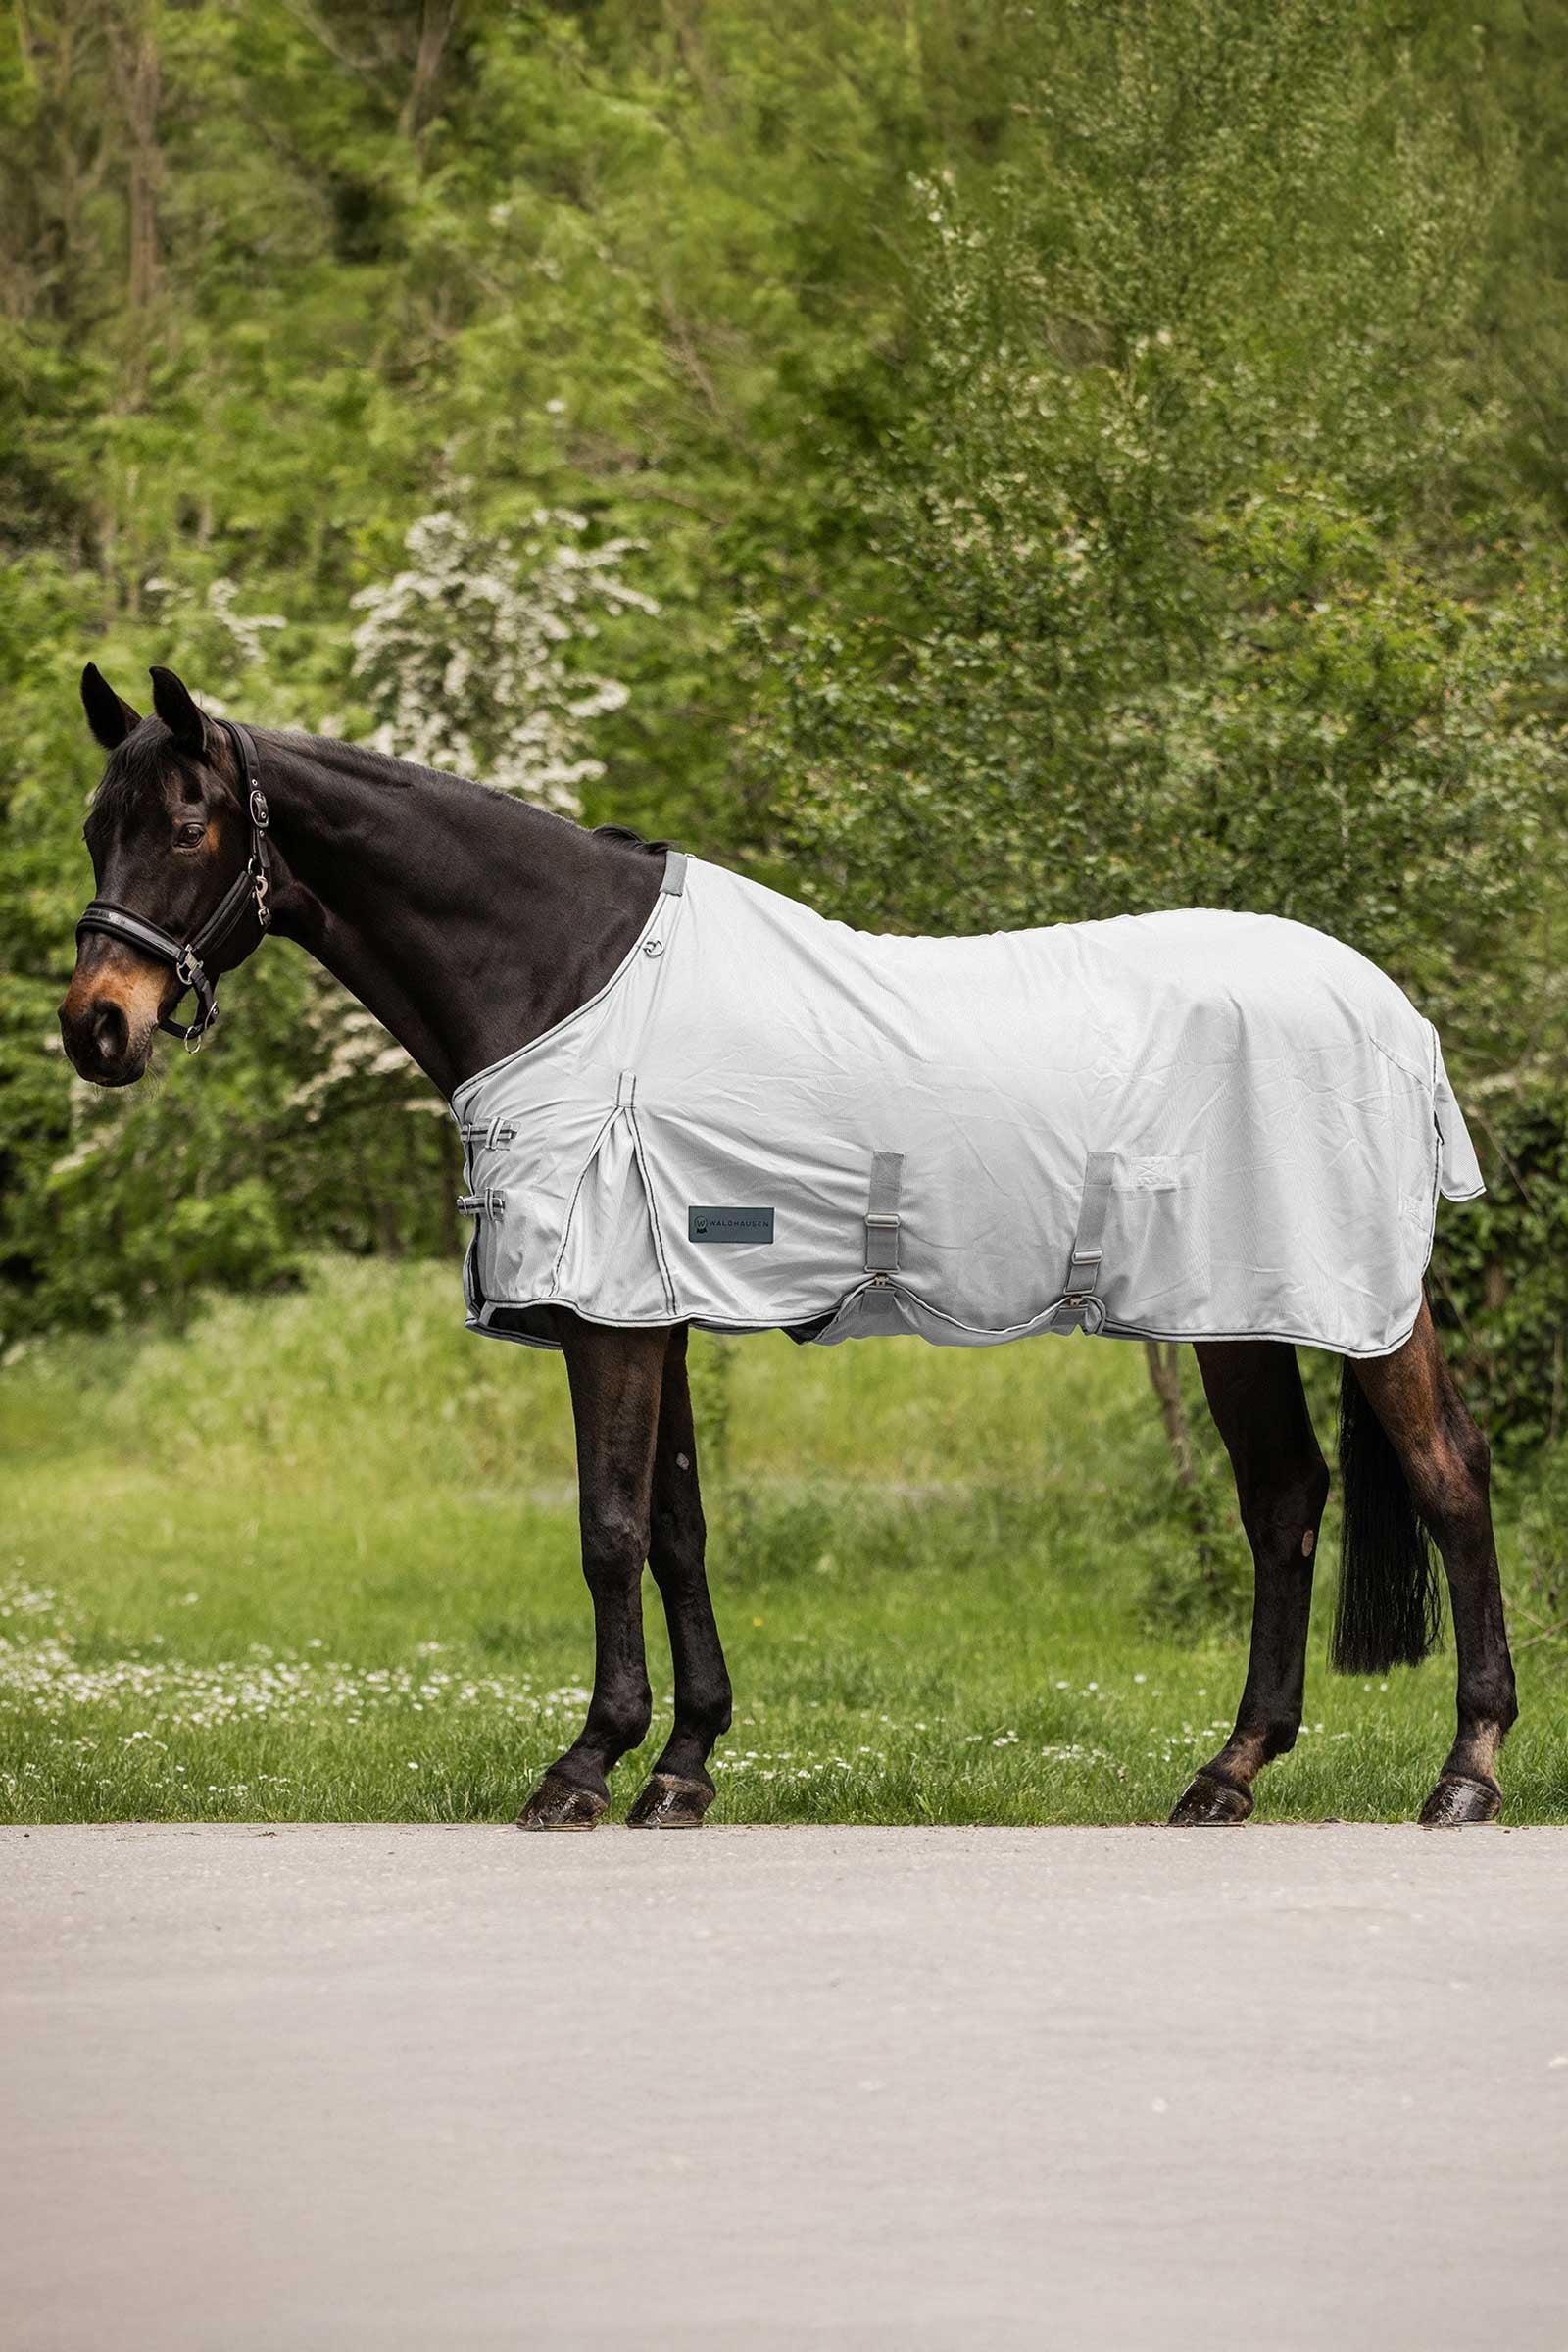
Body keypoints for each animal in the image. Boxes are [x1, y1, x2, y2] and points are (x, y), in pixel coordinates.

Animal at [58, 663, 1519, 1830]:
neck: (566, 975)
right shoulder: (649, 1309)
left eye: (186, 825)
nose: (95, 1027)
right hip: (1235, 1311)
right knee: (1284, 1500)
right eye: (92, 828)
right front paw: (682, 1766)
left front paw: (583, 1768)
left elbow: (606, 1529)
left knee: (1444, 1473)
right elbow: (677, 1529)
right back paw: (1228, 1774)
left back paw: (1466, 1771)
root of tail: (1391, 1011)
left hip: (1348, 1299)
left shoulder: (609, 1317)